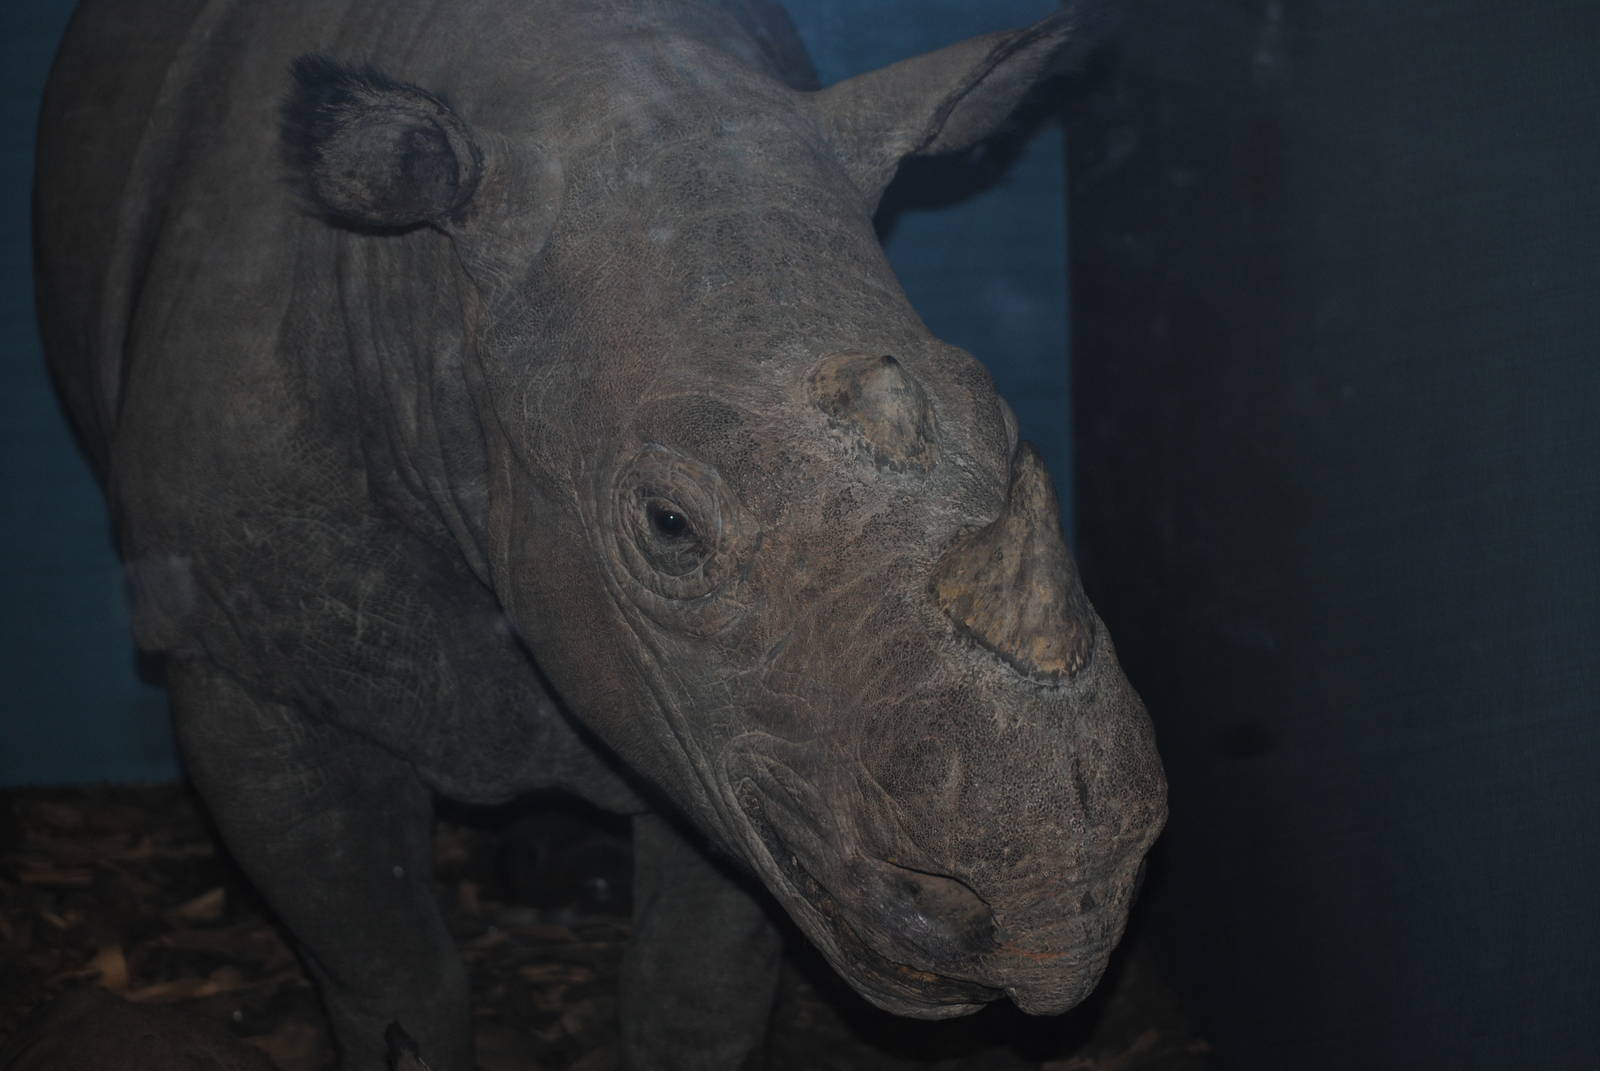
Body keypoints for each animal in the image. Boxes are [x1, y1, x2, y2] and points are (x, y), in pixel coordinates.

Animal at [34, 0, 1165, 1067]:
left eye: (1004, 427)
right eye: (666, 526)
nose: (1057, 906)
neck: (434, 306)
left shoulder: (719, 740)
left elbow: (694, 992)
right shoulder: (234, 654)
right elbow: (390, 971)